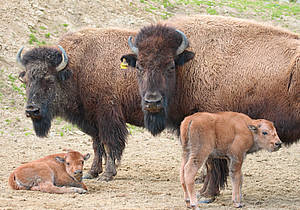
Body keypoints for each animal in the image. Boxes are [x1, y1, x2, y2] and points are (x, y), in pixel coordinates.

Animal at [16, 27, 144, 181]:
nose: (32, 110)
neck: (77, 68)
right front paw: (92, 172)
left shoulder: (107, 118)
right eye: (26, 81)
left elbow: (109, 144)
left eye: (49, 79)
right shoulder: (93, 121)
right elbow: (97, 145)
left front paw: (106, 174)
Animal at [121, 15, 300, 200]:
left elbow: (212, 163)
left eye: (170, 66)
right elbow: (209, 163)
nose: (152, 101)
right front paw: (203, 192)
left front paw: (207, 194)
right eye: (139, 66)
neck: (190, 66)